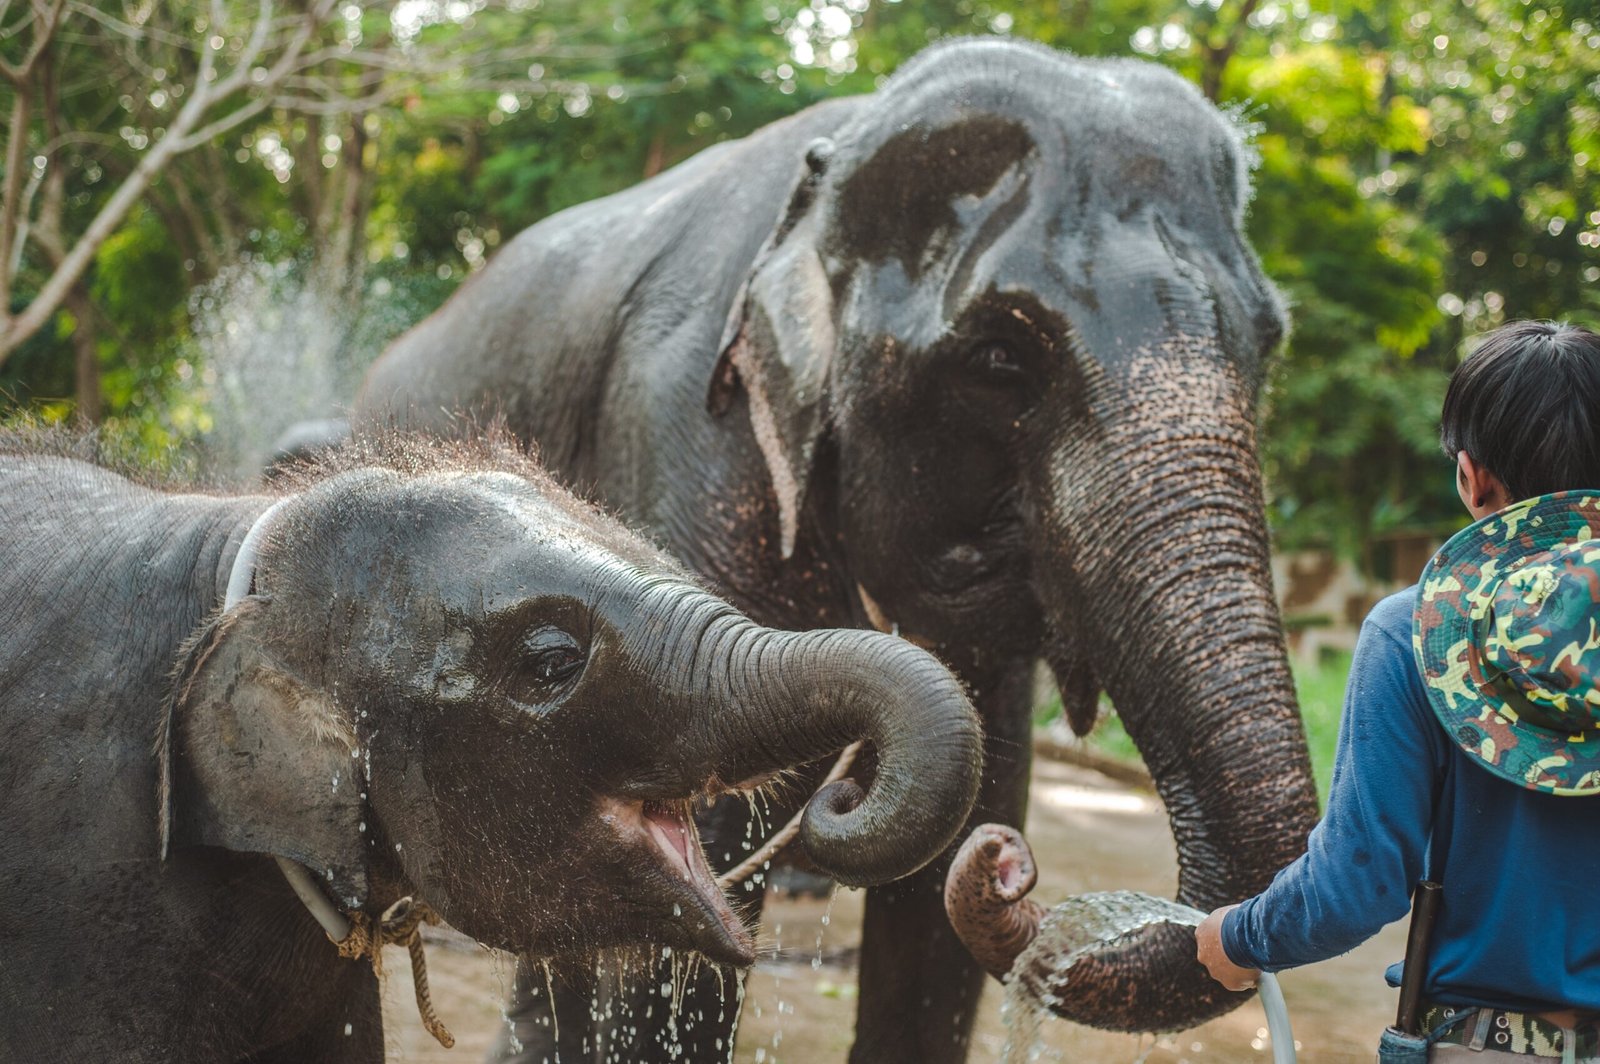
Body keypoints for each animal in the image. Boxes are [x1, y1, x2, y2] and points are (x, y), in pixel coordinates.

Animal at [356, 35, 1318, 1062]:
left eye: (1269, 343)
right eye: (1001, 359)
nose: (1009, 871)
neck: (838, 150)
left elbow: (959, 854)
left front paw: (967, 840)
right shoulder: (684, 429)